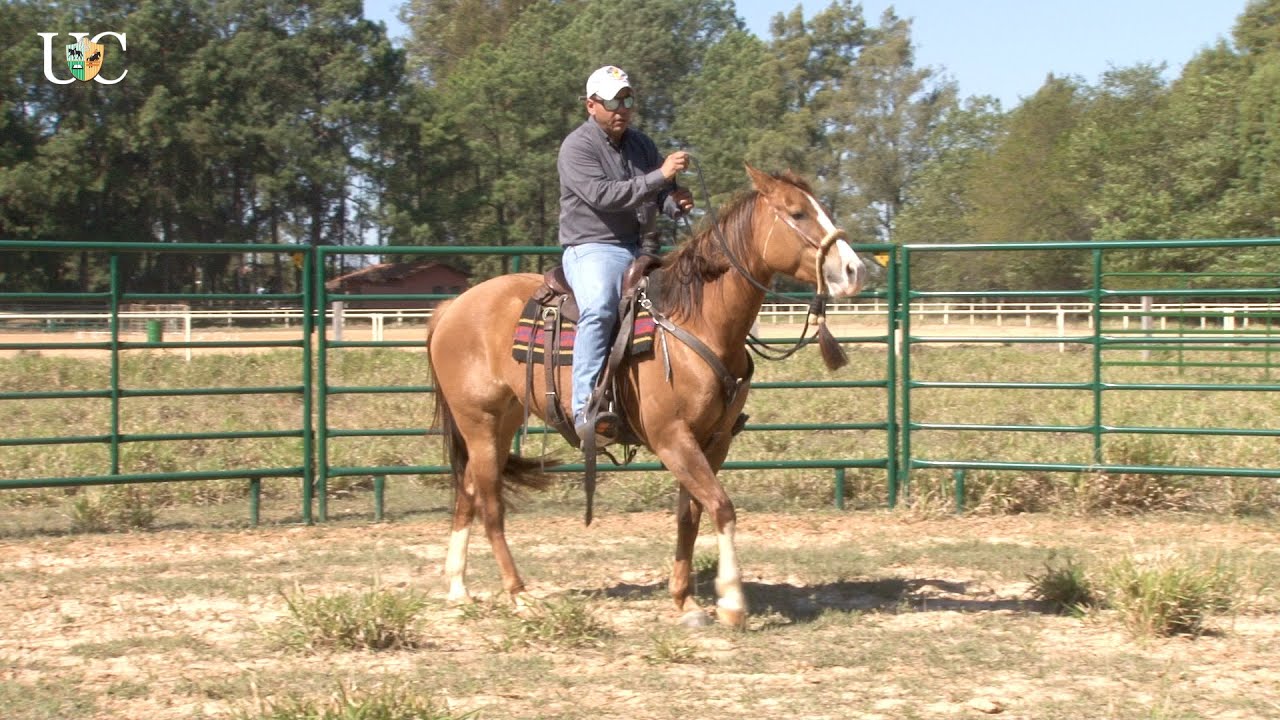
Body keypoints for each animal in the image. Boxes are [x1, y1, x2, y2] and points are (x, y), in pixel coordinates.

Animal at [425, 164, 867, 626]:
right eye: (797, 213)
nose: (854, 270)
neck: (694, 320)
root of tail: (451, 307)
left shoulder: (714, 441)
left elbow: (691, 515)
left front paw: (685, 601)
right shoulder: (672, 437)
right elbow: (721, 506)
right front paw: (731, 601)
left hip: (502, 420)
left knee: (468, 492)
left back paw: (458, 588)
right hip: (478, 421)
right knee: (490, 503)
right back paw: (519, 594)